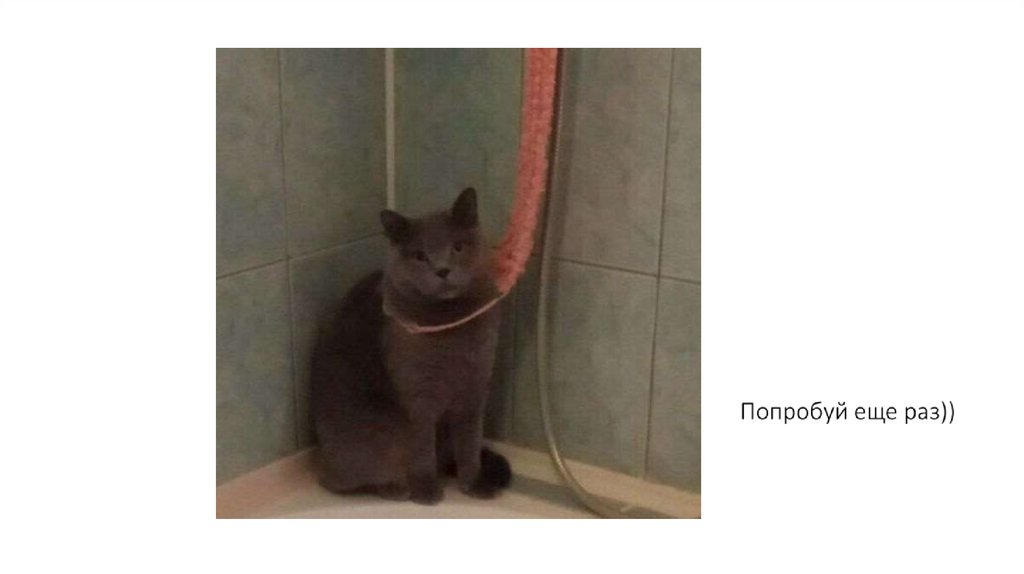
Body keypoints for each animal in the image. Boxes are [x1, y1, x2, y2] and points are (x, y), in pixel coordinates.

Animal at [310, 187, 511, 505]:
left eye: (457, 247)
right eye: (420, 256)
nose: (442, 270)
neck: (452, 328)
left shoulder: (476, 386)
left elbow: (469, 444)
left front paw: (474, 484)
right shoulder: (418, 397)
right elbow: (422, 449)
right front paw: (427, 491)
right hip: (370, 442)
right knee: (347, 480)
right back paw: (397, 488)